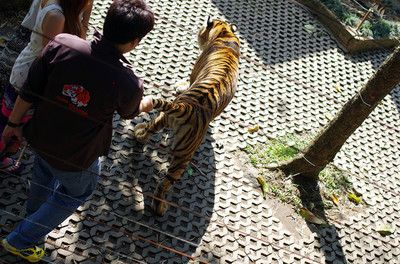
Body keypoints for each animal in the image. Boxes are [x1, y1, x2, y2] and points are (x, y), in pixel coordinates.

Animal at [134, 16, 241, 216]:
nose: (198, 33)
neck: (225, 35)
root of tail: (187, 108)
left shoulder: (193, 74)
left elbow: (188, 81)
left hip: (180, 150)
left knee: (164, 181)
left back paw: (159, 207)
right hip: (174, 135)